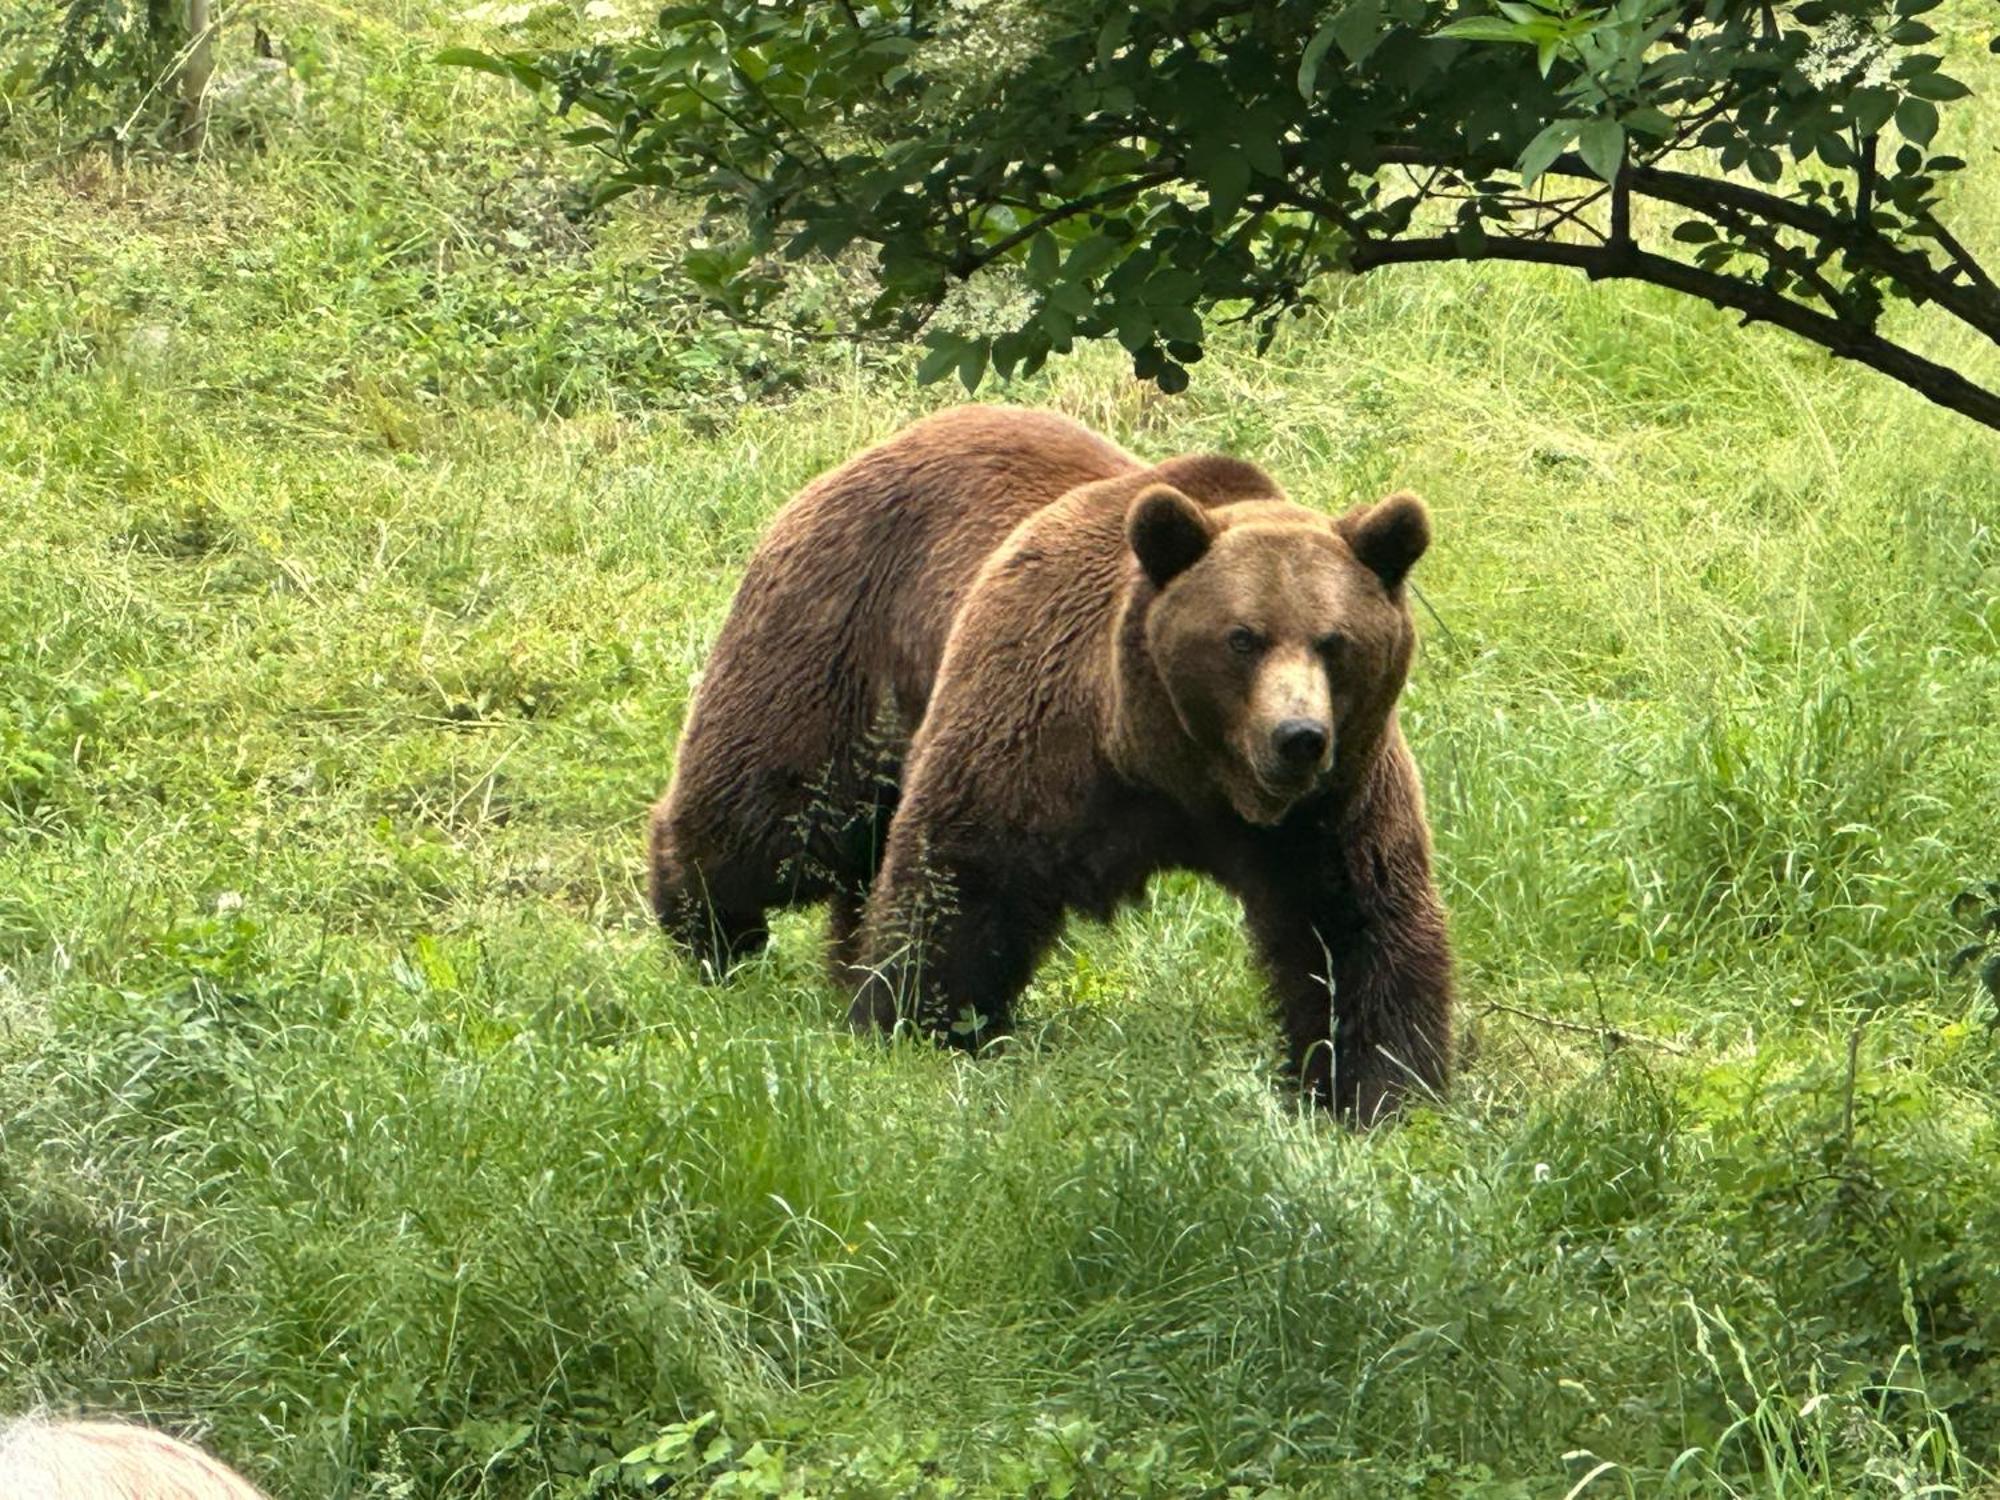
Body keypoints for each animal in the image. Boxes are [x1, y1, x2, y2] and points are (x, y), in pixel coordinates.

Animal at [656, 406, 1456, 1120]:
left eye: (1335, 641)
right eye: (1243, 638)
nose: (1298, 736)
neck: (1174, 762)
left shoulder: (1331, 802)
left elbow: (1358, 924)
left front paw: (1379, 1089)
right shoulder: (1038, 731)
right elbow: (963, 878)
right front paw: (921, 1026)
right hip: (840, 633)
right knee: (779, 814)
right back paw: (708, 930)